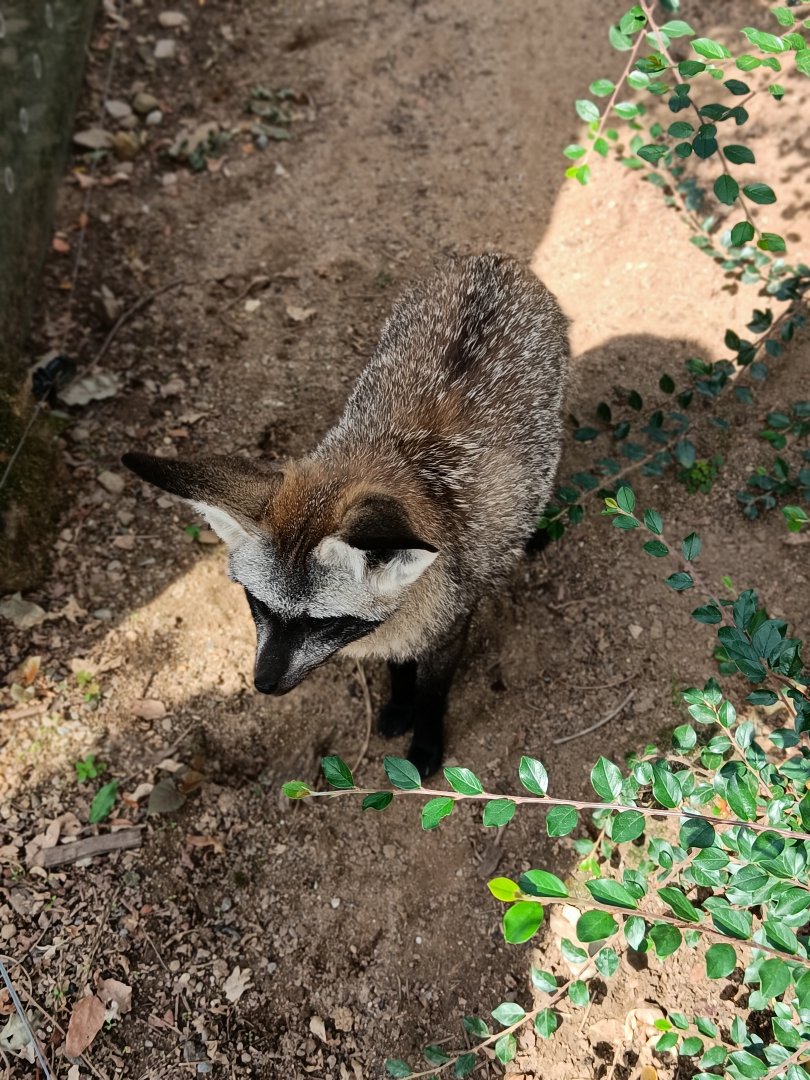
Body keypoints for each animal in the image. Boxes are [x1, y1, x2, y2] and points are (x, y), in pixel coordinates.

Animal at [123, 253, 569, 777]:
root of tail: (493, 260)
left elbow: (432, 694)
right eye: (258, 604)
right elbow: (399, 668)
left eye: (322, 623)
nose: (263, 684)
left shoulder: (450, 628)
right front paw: (398, 705)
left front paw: (425, 742)